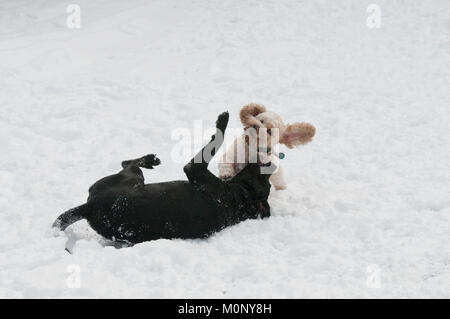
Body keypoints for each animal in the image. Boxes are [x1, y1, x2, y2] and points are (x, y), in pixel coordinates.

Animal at [51, 112, 272, 245]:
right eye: (268, 182)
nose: (270, 162)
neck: (240, 197)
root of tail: (90, 207)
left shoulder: (194, 169)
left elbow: (216, 139)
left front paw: (222, 121)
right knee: (127, 162)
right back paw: (150, 159)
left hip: (132, 179)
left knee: (127, 163)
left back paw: (148, 160)